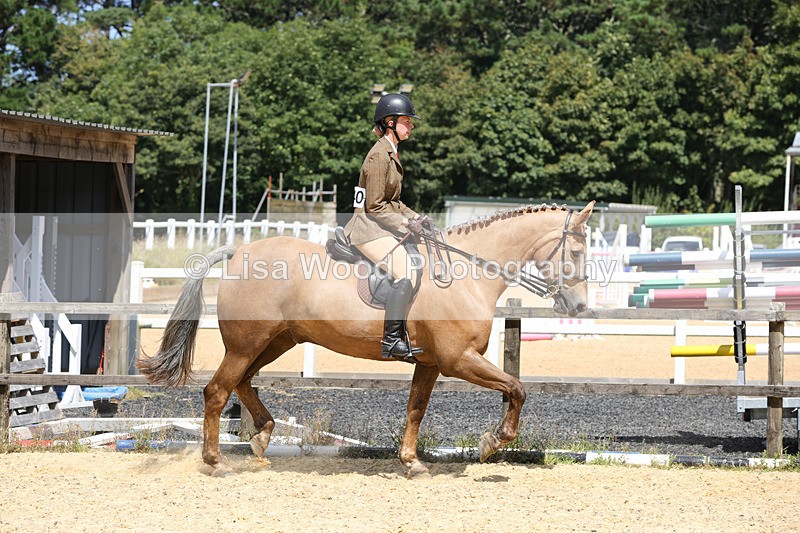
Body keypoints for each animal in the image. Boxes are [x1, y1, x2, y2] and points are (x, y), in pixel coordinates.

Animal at [138, 201, 595, 477]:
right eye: (574, 254)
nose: (577, 306)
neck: (468, 276)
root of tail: (237, 253)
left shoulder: (430, 362)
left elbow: (416, 410)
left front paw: (411, 462)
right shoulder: (457, 359)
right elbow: (516, 388)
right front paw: (491, 442)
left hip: (275, 341)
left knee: (244, 382)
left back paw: (262, 435)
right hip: (247, 344)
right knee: (217, 391)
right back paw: (215, 461)